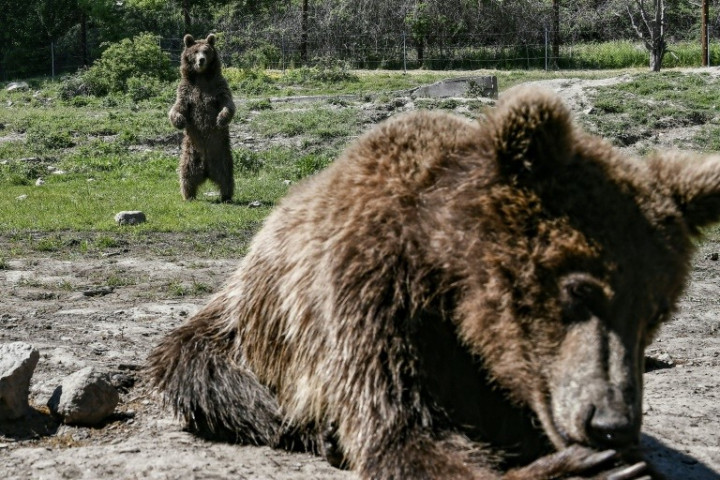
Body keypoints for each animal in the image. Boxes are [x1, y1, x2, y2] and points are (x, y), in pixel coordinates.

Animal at [146, 87, 720, 479]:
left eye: (657, 311)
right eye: (578, 290)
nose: (611, 423)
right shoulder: (373, 296)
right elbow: (404, 431)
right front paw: (584, 468)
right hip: (241, 326)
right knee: (210, 377)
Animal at [169, 33, 236, 202]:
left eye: (206, 51)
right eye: (195, 51)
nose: (201, 60)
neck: (202, 77)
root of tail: (206, 171)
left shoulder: (218, 86)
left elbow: (227, 103)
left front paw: (221, 119)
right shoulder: (186, 90)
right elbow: (179, 106)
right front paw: (179, 120)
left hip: (221, 153)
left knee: (226, 175)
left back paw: (226, 196)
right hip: (190, 153)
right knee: (186, 174)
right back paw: (188, 195)